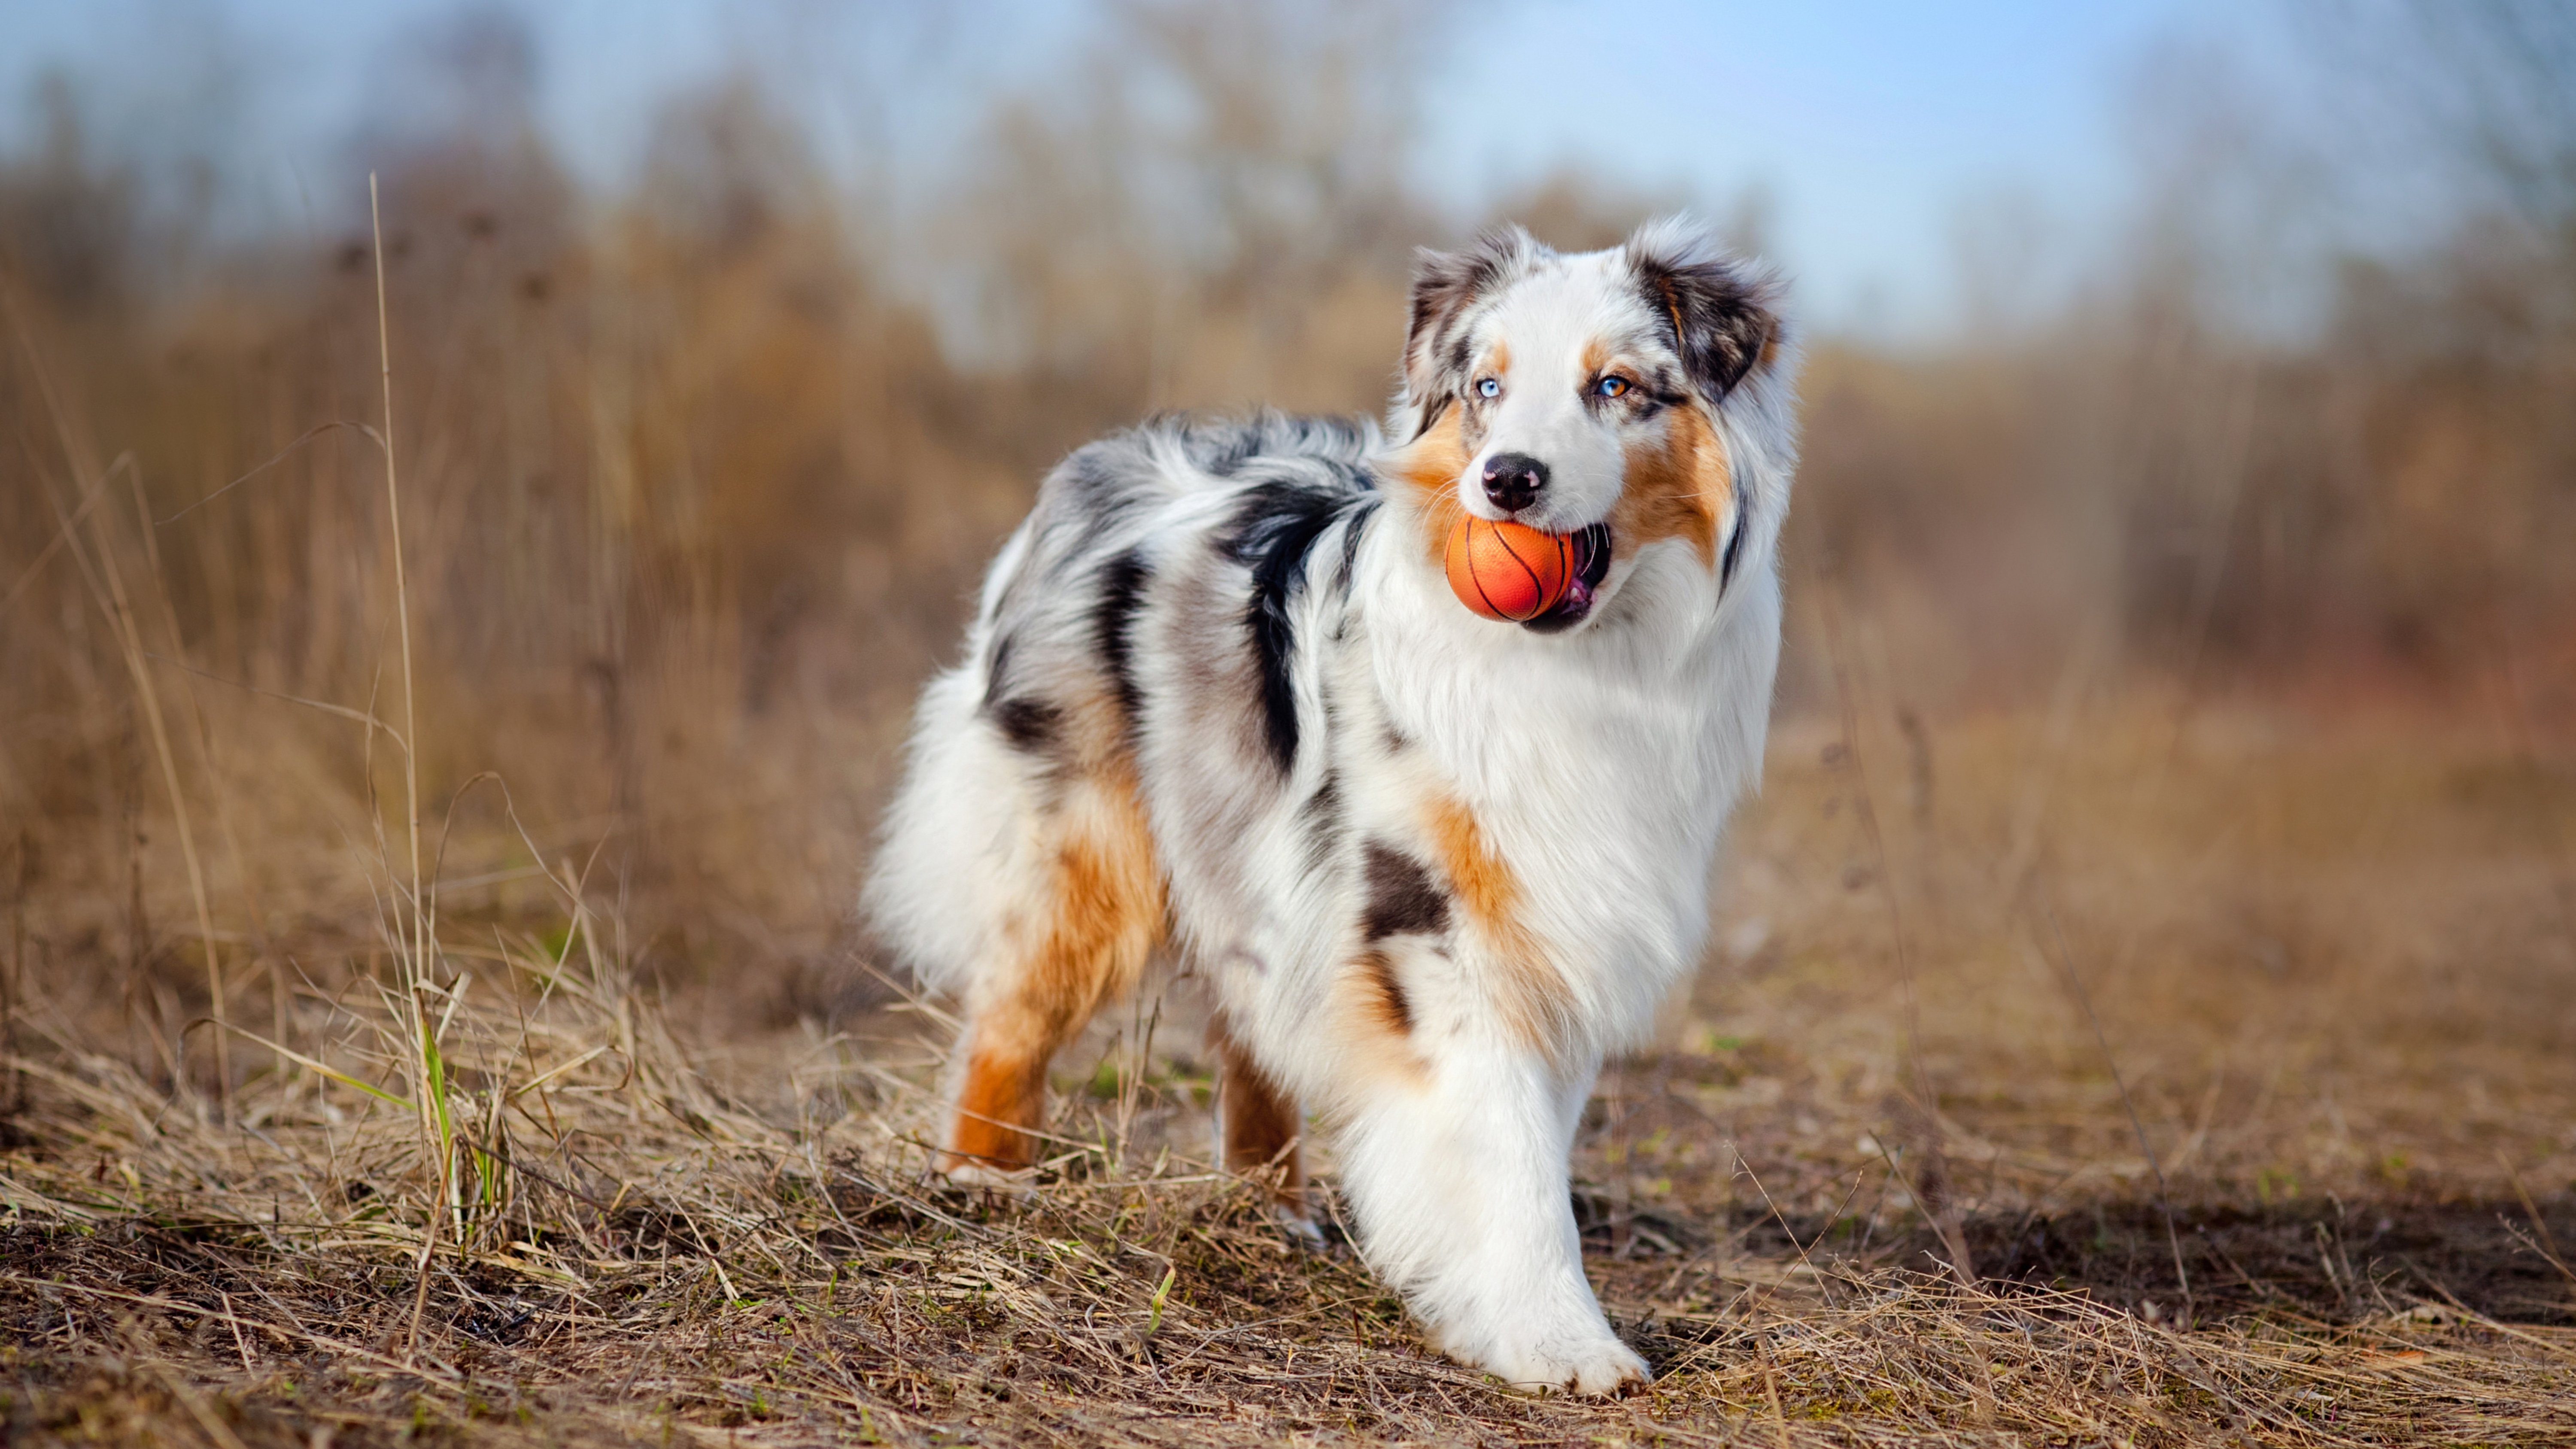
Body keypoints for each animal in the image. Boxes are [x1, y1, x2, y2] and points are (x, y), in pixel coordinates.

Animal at [866, 214, 1793, 1392]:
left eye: (1616, 386)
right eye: (1488, 387)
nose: (1507, 481)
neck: (1580, 664)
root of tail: (1097, 466)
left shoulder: (1559, 917)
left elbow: (1529, 1132)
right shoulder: (1429, 920)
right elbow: (1508, 1150)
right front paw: (1560, 1342)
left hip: (1248, 854)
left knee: (1248, 1023)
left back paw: (1270, 1213)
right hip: (1088, 847)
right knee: (1013, 1012)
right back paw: (981, 1181)